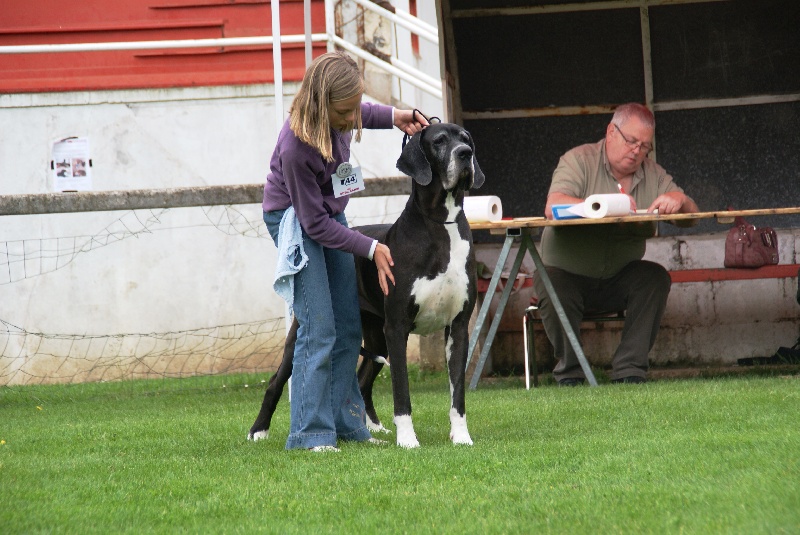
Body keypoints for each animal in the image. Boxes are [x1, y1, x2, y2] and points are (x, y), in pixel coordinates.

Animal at [250, 121, 484, 448]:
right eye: (439, 141)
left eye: (466, 139)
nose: (465, 154)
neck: (440, 223)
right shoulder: (397, 327)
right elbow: (402, 392)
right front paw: (408, 440)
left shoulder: (459, 326)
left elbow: (457, 393)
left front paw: (461, 437)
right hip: (309, 333)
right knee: (276, 381)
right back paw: (258, 430)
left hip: (376, 338)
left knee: (362, 381)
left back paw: (373, 429)